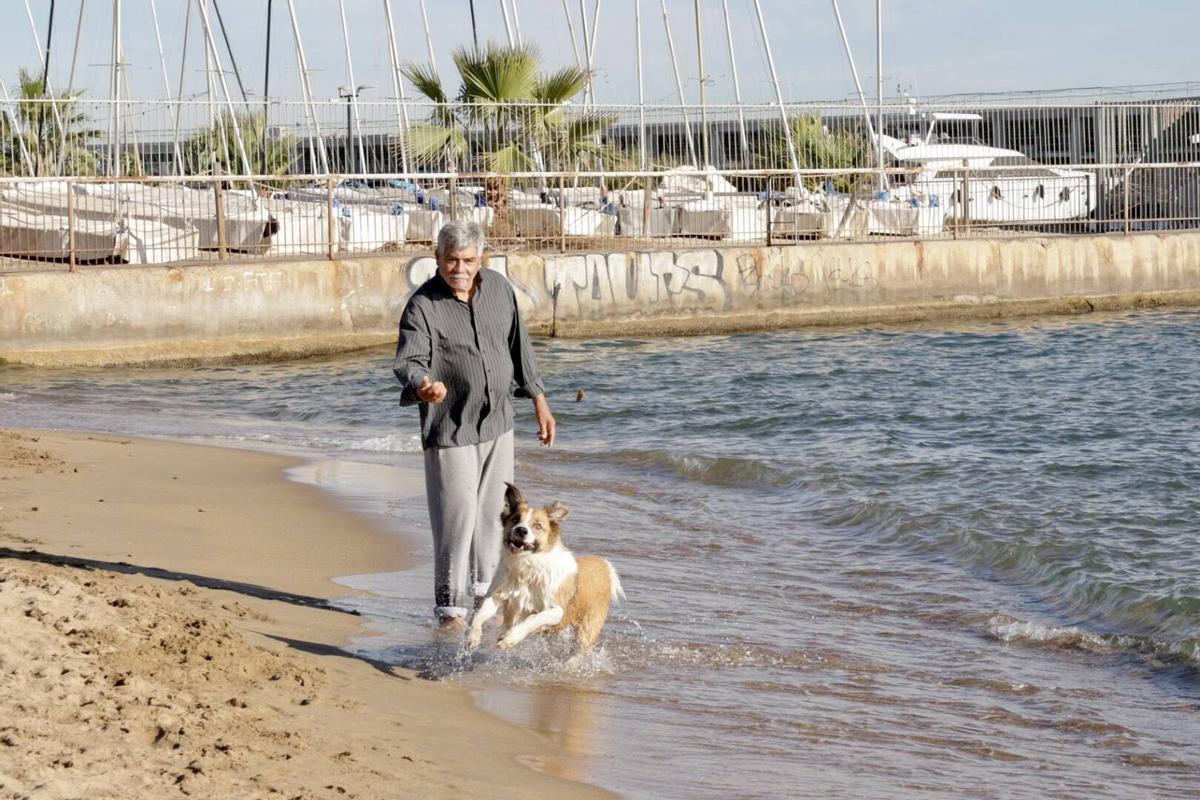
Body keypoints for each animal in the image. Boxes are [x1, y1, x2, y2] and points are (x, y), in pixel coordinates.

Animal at [463, 482, 624, 657]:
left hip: (588, 626)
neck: (528, 566)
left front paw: (509, 638)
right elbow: (479, 615)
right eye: (515, 520)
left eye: (537, 526)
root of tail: (604, 564)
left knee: (578, 650)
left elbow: (534, 618)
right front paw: (472, 636)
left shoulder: (557, 610)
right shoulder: (497, 595)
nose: (521, 530)